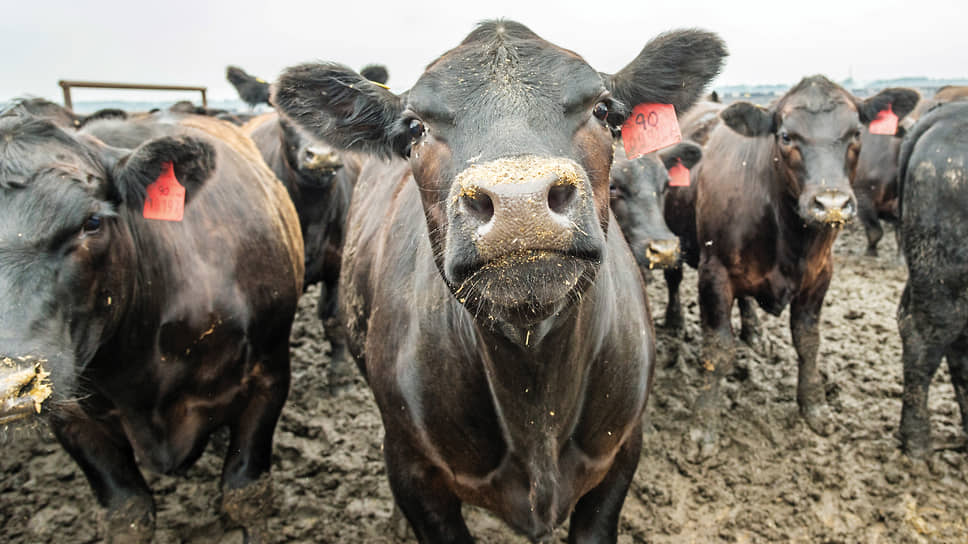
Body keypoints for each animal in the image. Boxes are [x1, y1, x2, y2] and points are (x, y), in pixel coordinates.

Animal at [0, 108, 302, 540]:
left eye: (92, 222)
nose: (11, 384)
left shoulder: (269, 375)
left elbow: (244, 496)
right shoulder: (72, 416)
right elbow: (129, 514)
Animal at [684, 75, 920, 460]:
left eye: (856, 132)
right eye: (786, 136)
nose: (831, 203)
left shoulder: (819, 276)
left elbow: (808, 342)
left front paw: (814, 405)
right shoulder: (713, 273)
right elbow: (717, 350)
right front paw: (704, 423)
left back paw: (755, 332)